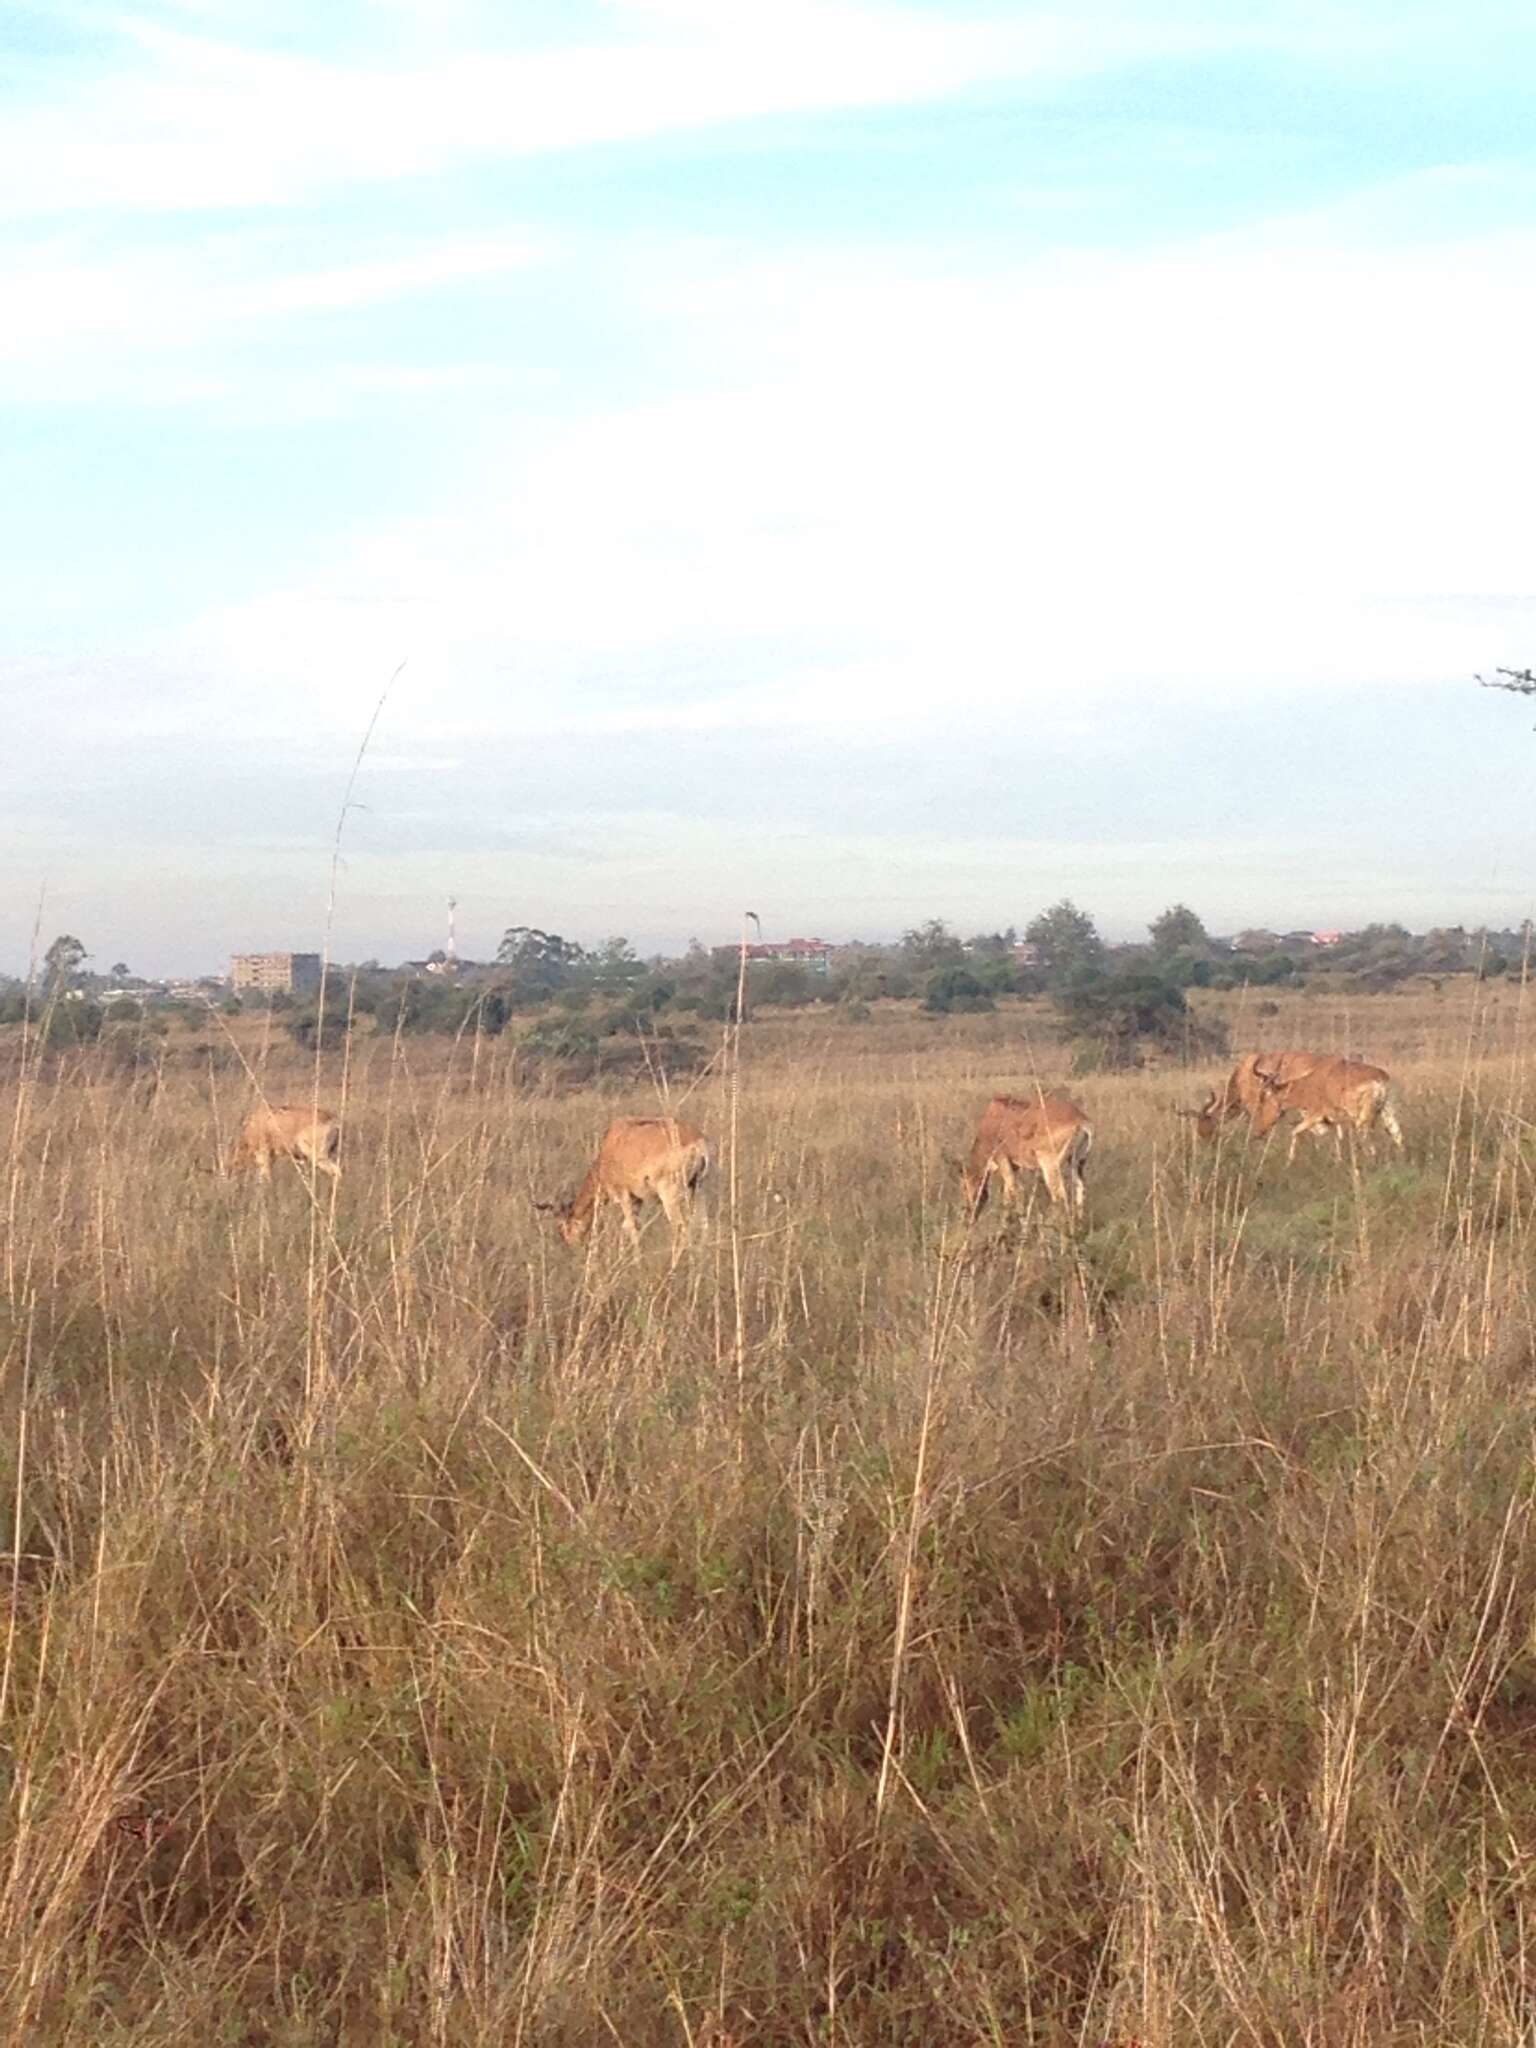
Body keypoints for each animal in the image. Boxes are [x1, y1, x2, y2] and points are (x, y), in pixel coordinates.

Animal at [536, 1122, 712, 1245]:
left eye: (561, 1227)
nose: (573, 1247)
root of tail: (698, 1144)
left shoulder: (624, 1196)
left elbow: (632, 1229)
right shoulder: (637, 1200)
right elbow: (627, 1228)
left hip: (669, 1194)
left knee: (680, 1228)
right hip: (698, 1187)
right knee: (703, 1224)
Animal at [962, 1089, 1097, 1212]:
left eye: (965, 1187)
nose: (969, 1213)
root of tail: (1081, 1120)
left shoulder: (1003, 1161)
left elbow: (1012, 1193)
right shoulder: (1014, 1166)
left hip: (1049, 1164)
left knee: (1059, 1195)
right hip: (1077, 1162)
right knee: (1080, 1188)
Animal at [1253, 1056, 1409, 1171]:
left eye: (1264, 1100)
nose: (1259, 1131)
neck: (1312, 1081)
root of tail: (1379, 1079)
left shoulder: (1315, 1116)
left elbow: (1295, 1131)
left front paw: (1288, 1164)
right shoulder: (1334, 1121)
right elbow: (1337, 1138)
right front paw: (1337, 1163)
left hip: (1361, 1118)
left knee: (1368, 1143)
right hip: (1387, 1109)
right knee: (1397, 1135)